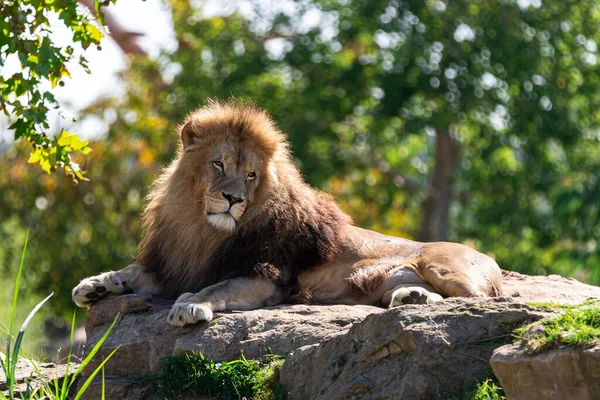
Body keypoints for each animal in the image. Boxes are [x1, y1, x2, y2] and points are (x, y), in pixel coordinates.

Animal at [71, 99, 502, 324]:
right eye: (218, 165)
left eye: (251, 175)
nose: (233, 200)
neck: (204, 229)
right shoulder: (178, 265)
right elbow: (132, 272)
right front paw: (94, 285)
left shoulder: (267, 277)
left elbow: (216, 288)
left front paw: (190, 305)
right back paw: (412, 298)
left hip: (444, 267)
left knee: (480, 301)